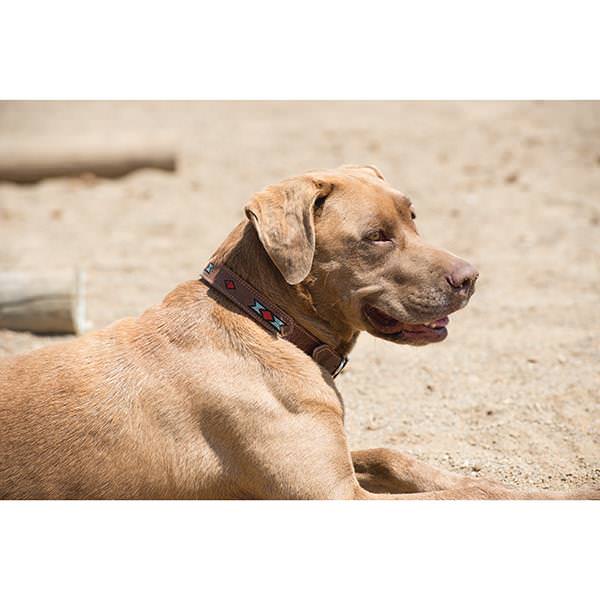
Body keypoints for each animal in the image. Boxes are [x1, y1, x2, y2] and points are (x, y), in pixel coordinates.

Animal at [0, 166, 596, 500]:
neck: (269, 322)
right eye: (375, 237)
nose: (471, 277)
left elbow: (398, 457)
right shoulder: (336, 499)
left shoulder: (342, 467)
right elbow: (470, 499)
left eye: (413, 217)